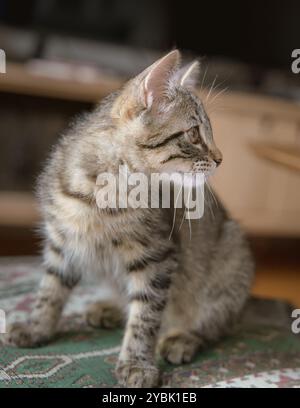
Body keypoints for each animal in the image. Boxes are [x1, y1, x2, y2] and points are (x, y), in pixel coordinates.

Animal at [4, 50, 253, 386]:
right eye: (193, 134)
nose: (220, 158)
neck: (104, 194)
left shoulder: (158, 256)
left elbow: (145, 316)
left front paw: (136, 363)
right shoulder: (62, 242)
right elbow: (50, 291)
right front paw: (36, 328)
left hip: (229, 265)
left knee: (213, 323)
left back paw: (181, 339)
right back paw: (107, 309)